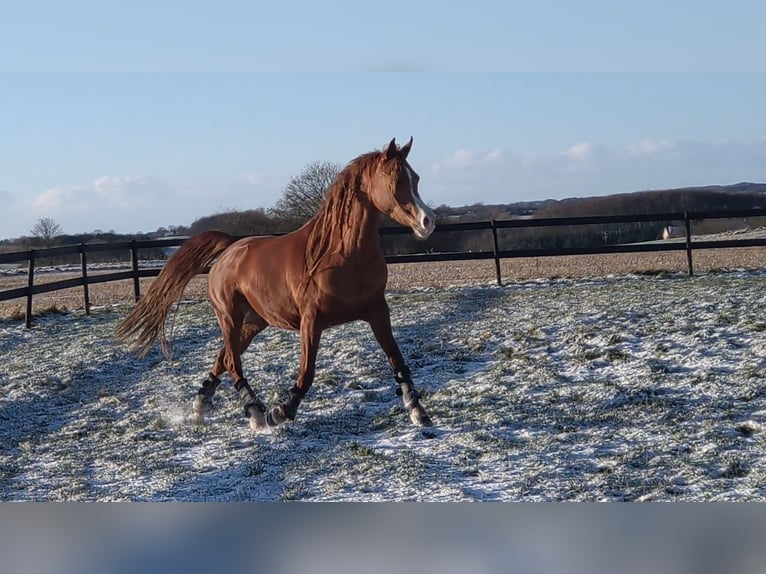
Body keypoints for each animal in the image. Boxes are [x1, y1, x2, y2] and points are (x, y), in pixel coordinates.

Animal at [115, 140, 438, 432]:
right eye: (394, 180)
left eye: (416, 178)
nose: (428, 221)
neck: (340, 254)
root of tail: (230, 248)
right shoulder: (311, 320)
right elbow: (306, 374)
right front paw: (280, 412)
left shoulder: (377, 311)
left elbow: (398, 361)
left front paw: (418, 412)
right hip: (229, 316)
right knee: (232, 362)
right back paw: (256, 413)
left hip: (255, 321)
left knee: (222, 358)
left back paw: (199, 409)